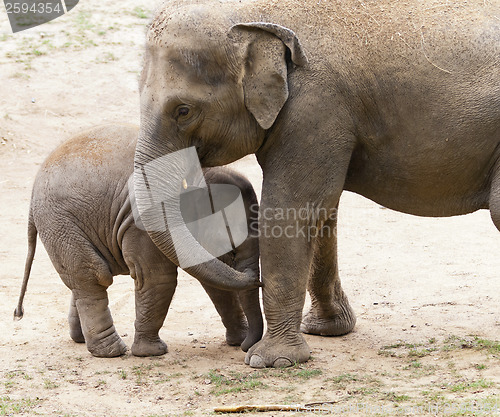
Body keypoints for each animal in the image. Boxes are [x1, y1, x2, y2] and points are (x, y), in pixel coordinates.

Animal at [14, 122, 264, 356]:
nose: (257, 280)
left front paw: (237, 341)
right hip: (59, 222)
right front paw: (152, 352)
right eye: (232, 243)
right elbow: (157, 276)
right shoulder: (141, 221)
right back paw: (112, 351)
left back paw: (81, 339)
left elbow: (213, 284)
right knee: (92, 276)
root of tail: (33, 193)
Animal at [133, 0, 500, 368]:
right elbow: (323, 210)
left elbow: (290, 208)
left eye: (183, 111)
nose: (252, 276)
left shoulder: (314, 107)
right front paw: (326, 330)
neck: (252, 13)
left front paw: (270, 360)